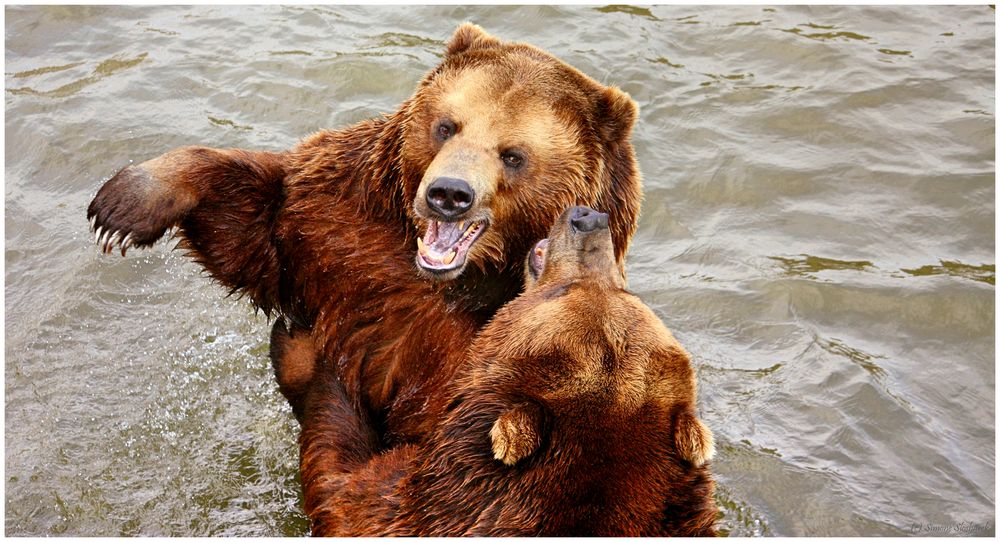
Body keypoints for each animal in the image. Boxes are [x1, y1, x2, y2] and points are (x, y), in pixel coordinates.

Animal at [86, 23, 640, 444]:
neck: (458, 280)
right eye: (446, 125)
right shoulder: (339, 227)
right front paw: (124, 205)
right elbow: (253, 227)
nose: (448, 193)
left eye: (513, 154)